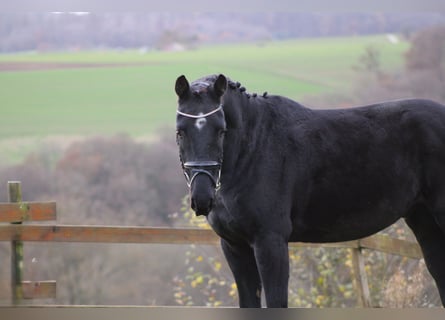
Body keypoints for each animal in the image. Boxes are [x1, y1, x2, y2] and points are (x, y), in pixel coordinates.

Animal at [173, 73, 444, 308]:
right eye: (180, 131)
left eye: (221, 130)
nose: (202, 197)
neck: (253, 149)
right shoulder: (234, 246)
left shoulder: (270, 242)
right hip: (422, 219)